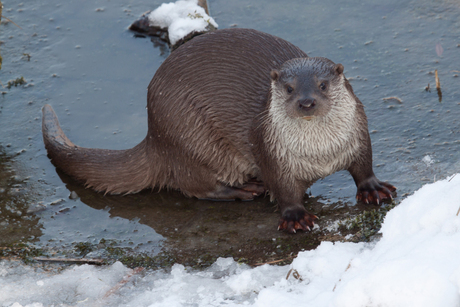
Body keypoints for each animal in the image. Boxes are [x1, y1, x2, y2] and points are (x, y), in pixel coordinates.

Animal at [42, 28, 396, 233]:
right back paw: (244, 190)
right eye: (289, 88)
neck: (320, 153)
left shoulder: (358, 133)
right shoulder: (271, 153)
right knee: (194, 186)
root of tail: (154, 136)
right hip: (191, 137)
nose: (306, 102)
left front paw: (374, 188)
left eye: (322, 85)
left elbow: (364, 165)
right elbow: (283, 189)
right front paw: (296, 217)